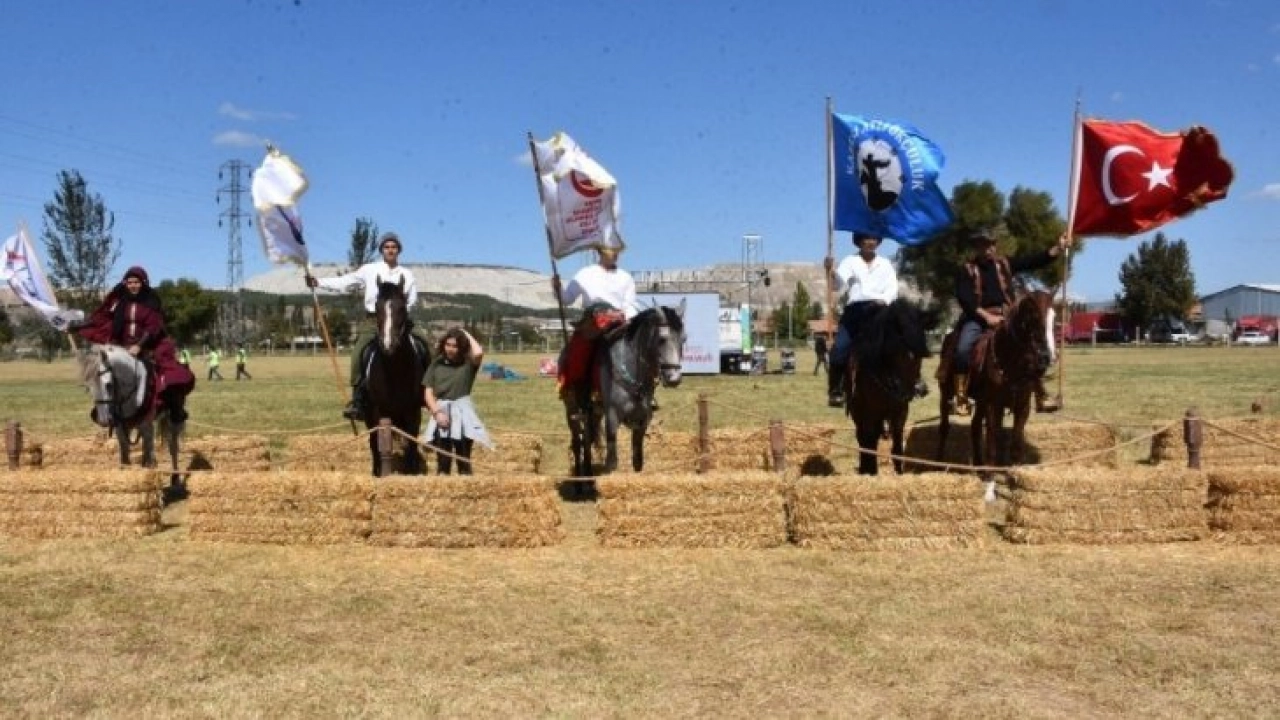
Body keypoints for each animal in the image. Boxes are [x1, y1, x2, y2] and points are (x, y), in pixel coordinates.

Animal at [79, 344, 183, 479]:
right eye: (89, 387)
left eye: (108, 385)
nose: (103, 420)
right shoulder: (120, 428)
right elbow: (125, 455)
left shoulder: (147, 425)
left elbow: (149, 453)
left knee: (173, 442)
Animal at [362, 277, 430, 476]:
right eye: (377, 307)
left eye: (401, 307)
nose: (388, 345)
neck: (395, 370)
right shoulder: (379, 412)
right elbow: (378, 444)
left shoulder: (413, 412)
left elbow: (412, 444)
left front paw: (411, 471)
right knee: (372, 442)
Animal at [564, 302, 686, 477]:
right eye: (661, 339)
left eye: (684, 339)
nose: (674, 378)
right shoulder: (612, 418)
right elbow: (611, 462)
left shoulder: (642, 422)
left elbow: (637, 461)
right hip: (572, 410)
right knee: (577, 442)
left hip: (594, 412)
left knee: (587, 440)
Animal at [843, 299, 931, 475]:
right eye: (903, 351)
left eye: (921, 353)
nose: (918, 389)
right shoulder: (869, 414)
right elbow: (869, 445)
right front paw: (870, 472)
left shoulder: (900, 413)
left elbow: (897, 449)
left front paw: (898, 473)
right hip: (858, 413)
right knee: (863, 440)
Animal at [937, 290, 1054, 474]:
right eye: (1031, 318)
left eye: (1053, 319)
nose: (1044, 360)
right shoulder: (993, 405)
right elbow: (993, 439)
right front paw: (990, 474)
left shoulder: (1022, 406)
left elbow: (1015, 441)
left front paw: (1015, 471)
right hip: (945, 393)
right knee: (944, 427)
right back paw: (939, 462)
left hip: (980, 401)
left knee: (975, 427)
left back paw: (978, 463)